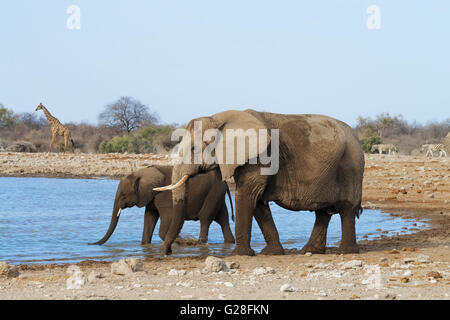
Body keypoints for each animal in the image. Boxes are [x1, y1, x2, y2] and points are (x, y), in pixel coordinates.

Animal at [89, 165, 236, 245]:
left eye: (124, 194)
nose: (90, 243)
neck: (141, 173)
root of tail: (225, 182)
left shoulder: (163, 194)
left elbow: (166, 219)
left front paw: (183, 241)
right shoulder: (150, 197)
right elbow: (149, 217)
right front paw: (145, 244)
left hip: (213, 193)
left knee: (205, 218)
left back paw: (199, 243)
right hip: (217, 195)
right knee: (223, 219)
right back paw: (230, 242)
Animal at [156, 109, 364, 256]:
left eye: (193, 148)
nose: (168, 252)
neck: (218, 118)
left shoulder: (260, 157)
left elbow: (248, 195)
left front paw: (238, 255)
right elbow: (258, 201)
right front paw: (271, 253)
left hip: (350, 167)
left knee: (346, 208)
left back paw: (346, 251)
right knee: (323, 212)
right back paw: (310, 251)